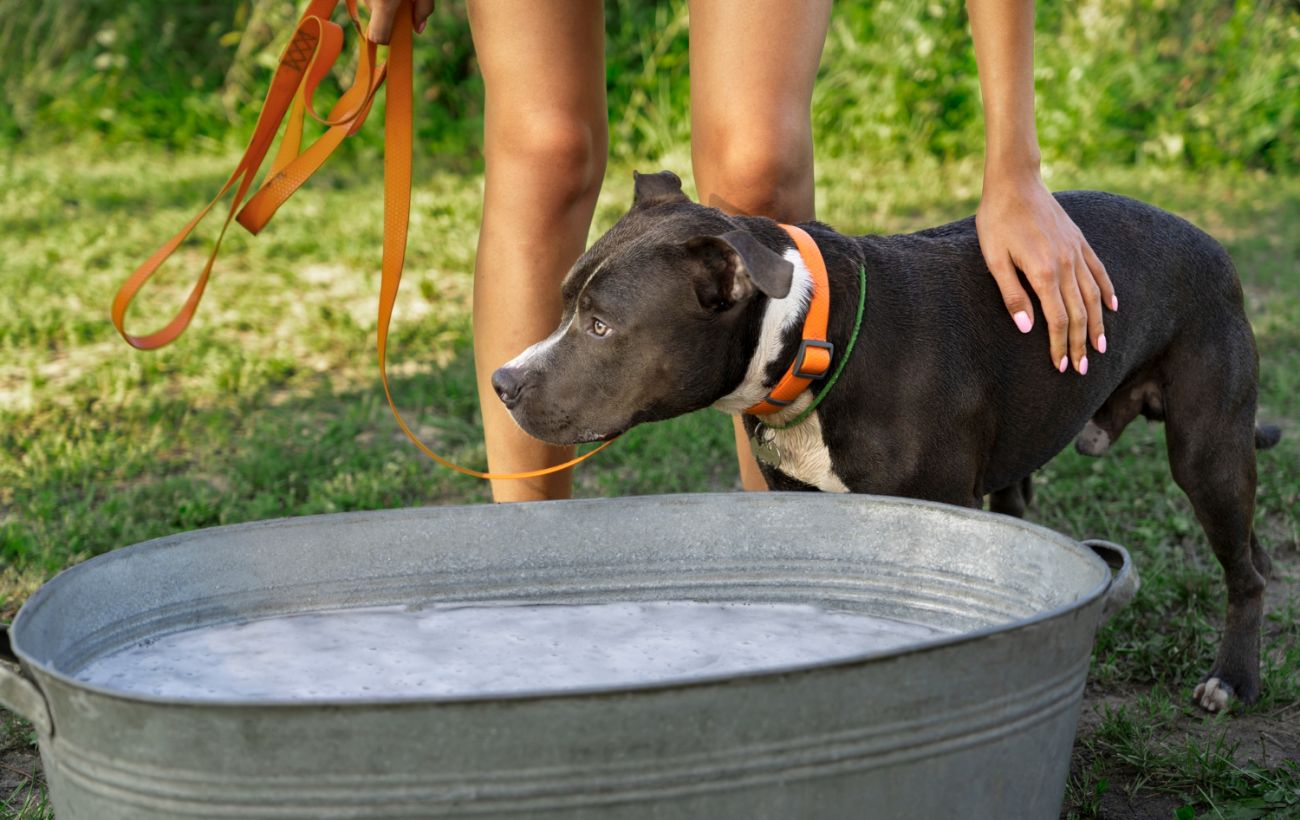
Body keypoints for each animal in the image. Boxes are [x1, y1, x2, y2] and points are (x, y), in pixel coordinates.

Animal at [491, 168, 1284, 712]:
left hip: (1207, 451)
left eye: (601, 326)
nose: (503, 382)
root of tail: (1208, 239)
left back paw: (1232, 678)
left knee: (1244, 572)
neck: (816, 340)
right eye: (563, 305)